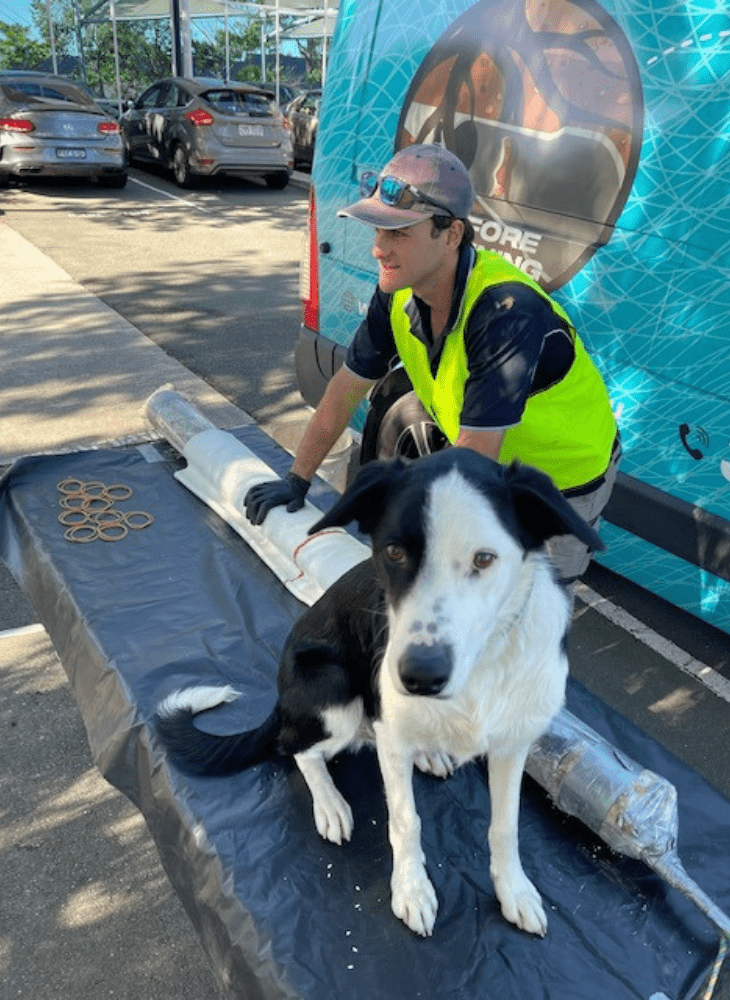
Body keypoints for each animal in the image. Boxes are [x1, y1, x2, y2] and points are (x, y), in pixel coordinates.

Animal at [156, 452, 600, 936]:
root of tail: (281, 701)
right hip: (334, 688)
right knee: (298, 748)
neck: (481, 666)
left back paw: (428, 753)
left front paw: (514, 891)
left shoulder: (512, 743)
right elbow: (406, 819)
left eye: (485, 559)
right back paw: (330, 802)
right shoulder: (389, 727)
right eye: (394, 552)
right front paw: (411, 890)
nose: (419, 677)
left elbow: (505, 826)